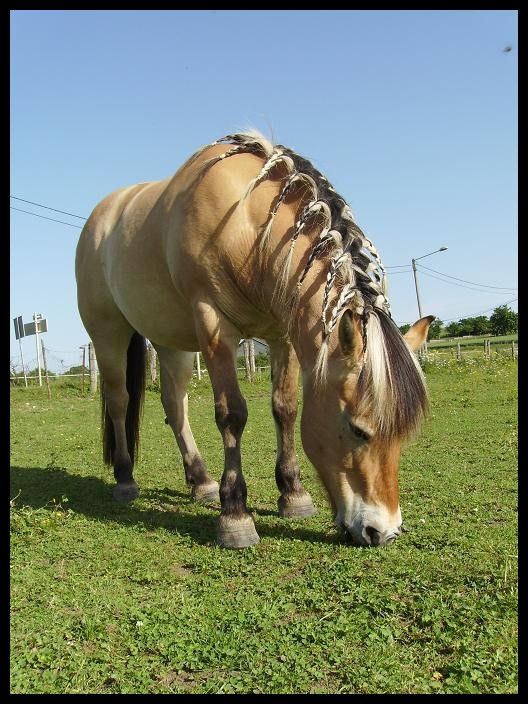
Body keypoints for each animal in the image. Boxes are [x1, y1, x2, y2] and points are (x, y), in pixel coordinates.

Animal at [75, 131, 434, 549]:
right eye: (358, 430)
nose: (384, 531)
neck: (247, 225)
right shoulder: (213, 326)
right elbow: (232, 415)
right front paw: (235, 516)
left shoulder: (283, 334)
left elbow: (285, 408)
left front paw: (293, 494)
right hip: (108, 333)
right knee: (119, 401)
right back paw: (125, 480)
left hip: (172, 342)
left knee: (174, 404)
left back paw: (200, 481)